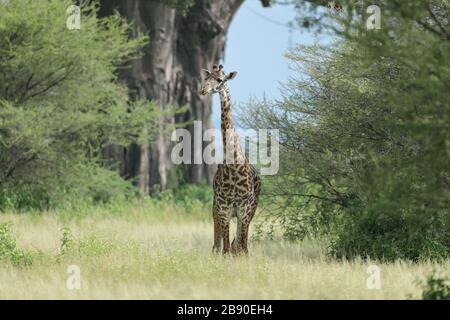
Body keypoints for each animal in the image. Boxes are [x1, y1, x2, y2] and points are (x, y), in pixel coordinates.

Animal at [200, 64, 262, 255]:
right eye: (206, 78)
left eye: (220, 79)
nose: (202, 90)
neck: (234, 164)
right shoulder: (223, 208)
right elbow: (225, 248)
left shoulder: (244, 208)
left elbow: (242, 248)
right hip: (216, 209)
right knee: (218, 245)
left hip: (251, 211)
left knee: (239, 245)